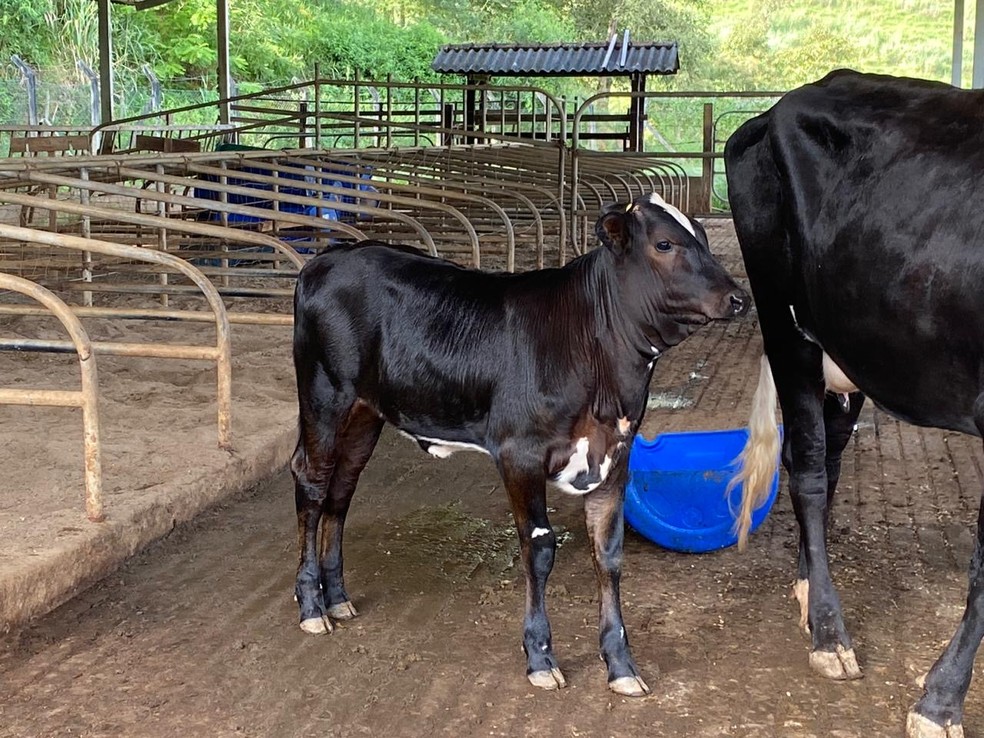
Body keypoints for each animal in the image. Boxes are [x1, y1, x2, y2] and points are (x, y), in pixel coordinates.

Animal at [288, 193, 748, 692]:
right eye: (664, 243)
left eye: (702, 236)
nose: (738, 298)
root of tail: (329, 258)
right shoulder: (519, 454)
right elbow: (540, 549)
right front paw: (540, 656)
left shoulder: (615, 455)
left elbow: (608, 555)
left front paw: (622, 666)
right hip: (323, 396)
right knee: (313, 482)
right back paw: (311, 606)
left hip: (364, 413)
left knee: (342, 489)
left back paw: (337, 597)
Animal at [724, 66, 984, 732]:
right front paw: (941, 700)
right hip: (785, 323)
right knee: (810, 472)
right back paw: (828, 632)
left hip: (853, 349)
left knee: (824, 457)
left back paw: (808, 589)